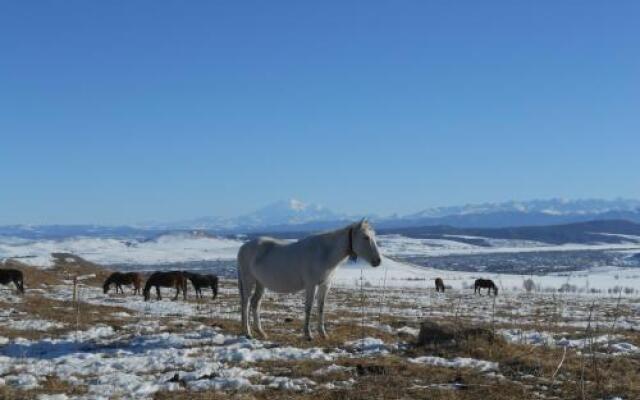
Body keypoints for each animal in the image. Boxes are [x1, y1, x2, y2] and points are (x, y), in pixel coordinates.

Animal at [239, 220, 380, 340]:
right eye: (365, 237)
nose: (378, 261)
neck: (324, 252)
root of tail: (243, 247)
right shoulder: (311, 285)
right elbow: (309, 307)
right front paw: (308, 335)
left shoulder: (325, 285)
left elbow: (321, 308)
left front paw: (323, 334)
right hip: (248, 281)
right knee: (246, 303)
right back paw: (248, 333)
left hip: (260, 283)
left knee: (255, 303)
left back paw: (261, 332)